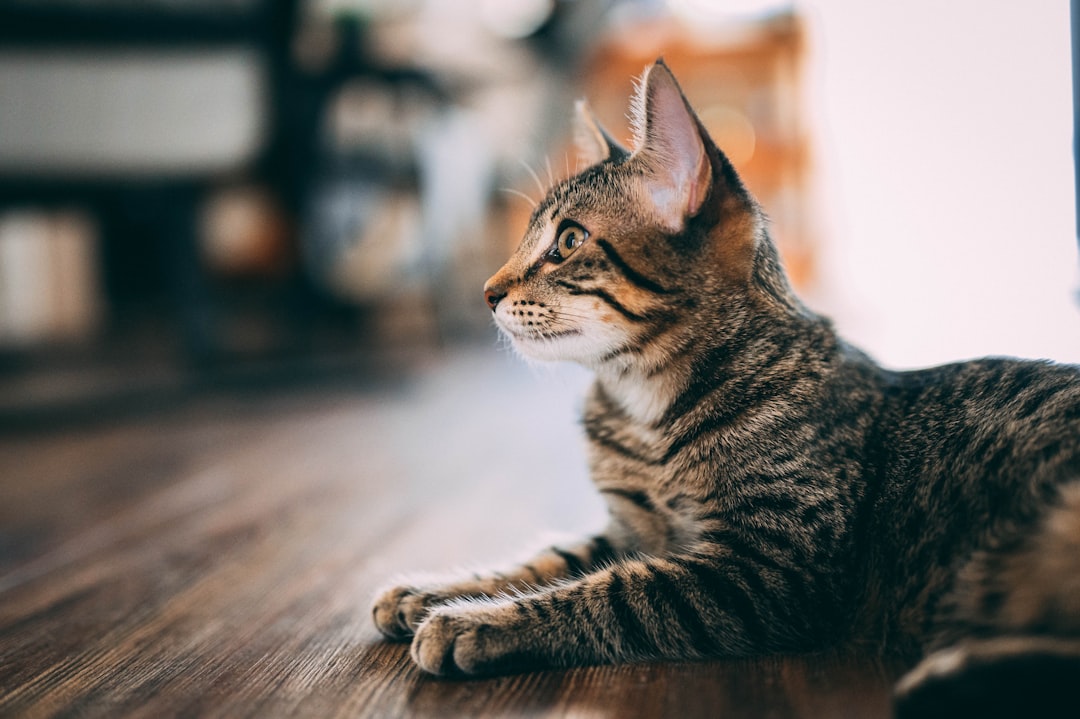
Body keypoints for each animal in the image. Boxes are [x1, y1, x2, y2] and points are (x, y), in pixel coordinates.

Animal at [373, 61, 1080, 712]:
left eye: (567, 241)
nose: (487, 292)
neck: (641, 410)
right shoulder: (631, 530)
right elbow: (551, 556)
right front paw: (435, 591)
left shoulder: (766, 567)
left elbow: (617, 592)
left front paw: (475, 621)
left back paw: (954, 677)